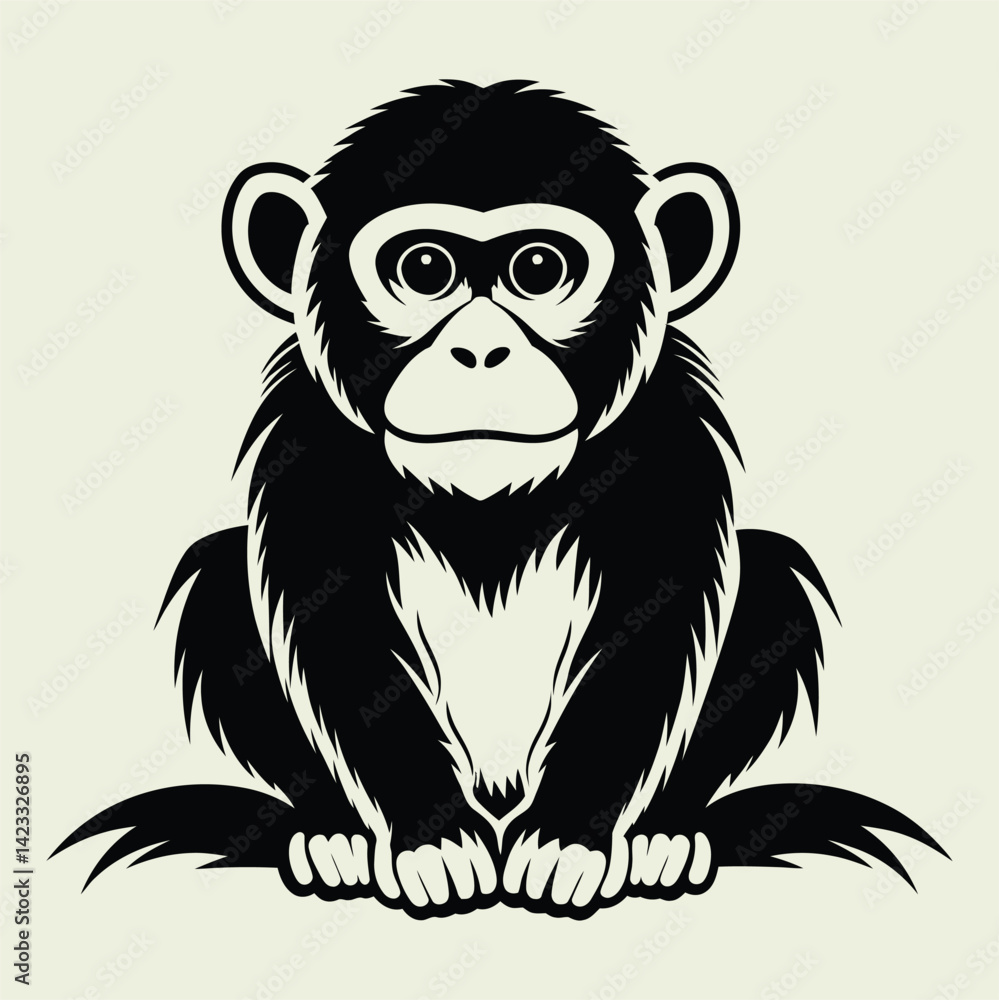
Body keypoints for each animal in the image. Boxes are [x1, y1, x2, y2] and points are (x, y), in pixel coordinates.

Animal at [54, 80, 946, 919]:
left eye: (538, 270)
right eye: (423, 270)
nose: (480, 350)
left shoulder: (666, 428)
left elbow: (648, 617)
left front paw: (568, 842)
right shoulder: (309, 433)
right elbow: (340, 622)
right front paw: (431, 842)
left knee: (767, 575)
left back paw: (662, 836)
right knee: (219, 575)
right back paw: (333, 836)